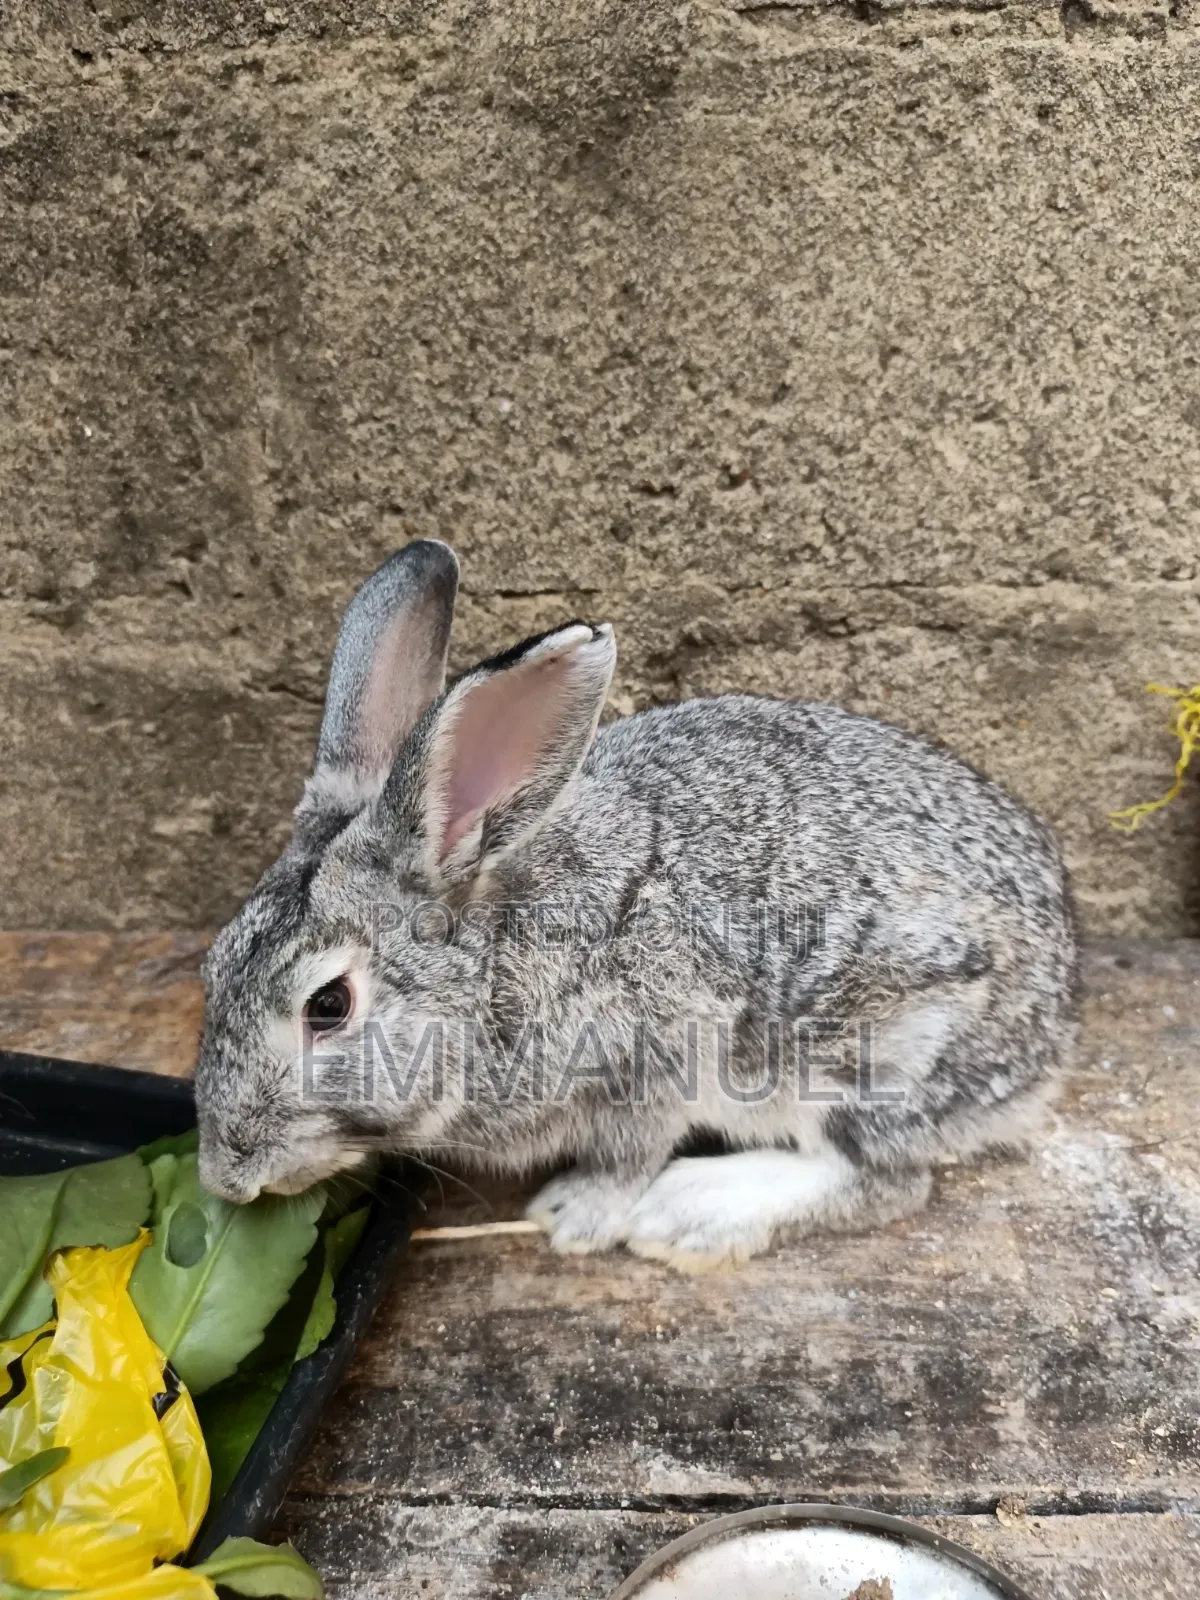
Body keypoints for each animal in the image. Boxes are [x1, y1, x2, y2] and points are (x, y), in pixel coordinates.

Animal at [195, 539, 1078, 1269]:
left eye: (329, 1006)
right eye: (215, 964)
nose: (226, 1176)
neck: (490, 965)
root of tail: (1053, 1033)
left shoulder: (654, 1053)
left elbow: (626, 1154)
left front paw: (575, 1215)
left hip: (865, 1050)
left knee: (886, 1178)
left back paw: (695, 1213)